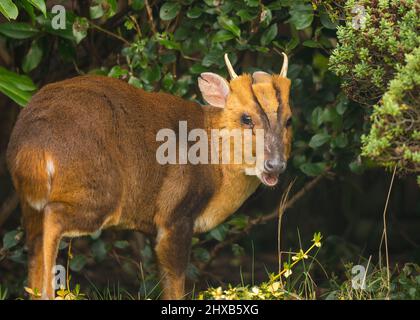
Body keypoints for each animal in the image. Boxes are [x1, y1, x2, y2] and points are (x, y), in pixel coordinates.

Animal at [7, 53, 292, 300]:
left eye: (289, 120)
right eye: (246, 118)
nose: (275, 165)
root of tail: (34, 146)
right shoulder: (175, 214)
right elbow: (174, 281)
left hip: (30, 201)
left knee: (34, 243)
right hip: (99, 192)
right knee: (53, 218)